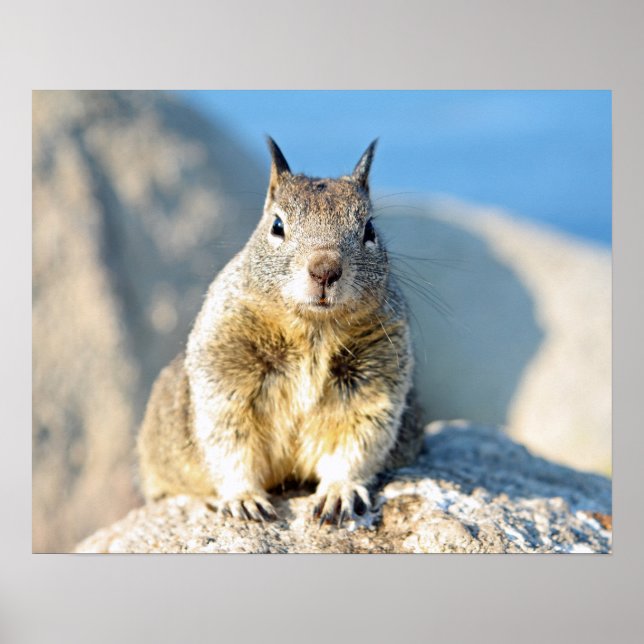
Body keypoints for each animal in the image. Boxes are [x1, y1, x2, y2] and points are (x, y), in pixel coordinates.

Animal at [137, 138, 422, 526]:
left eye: (369, 230)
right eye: (276, 225)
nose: (325, 270)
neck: (313, 330)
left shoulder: (375, 382)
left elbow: (357, 442)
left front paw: (339, 491)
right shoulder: (224, 372)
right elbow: (229, 441)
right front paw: (244, 498)